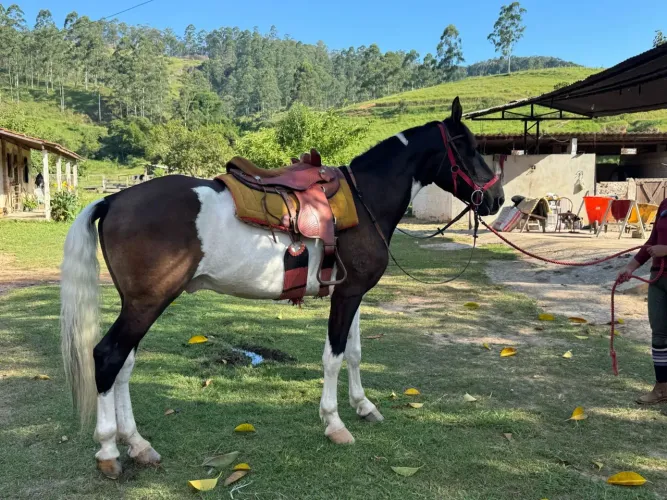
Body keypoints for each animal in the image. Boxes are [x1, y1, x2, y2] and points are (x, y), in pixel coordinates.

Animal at [60, 97, 504, 478]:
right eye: (467, 147)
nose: (496, 198)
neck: (364, 202)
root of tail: (113, 200)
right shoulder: (345, 297)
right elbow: (333, 358)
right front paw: (334, 423)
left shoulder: (353, 294)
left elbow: (355, 353)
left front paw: (363, 406)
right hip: (146, 304)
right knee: (108, 356)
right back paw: (109, 450)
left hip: (139, 305)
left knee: (124, 364)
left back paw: (137, 444)